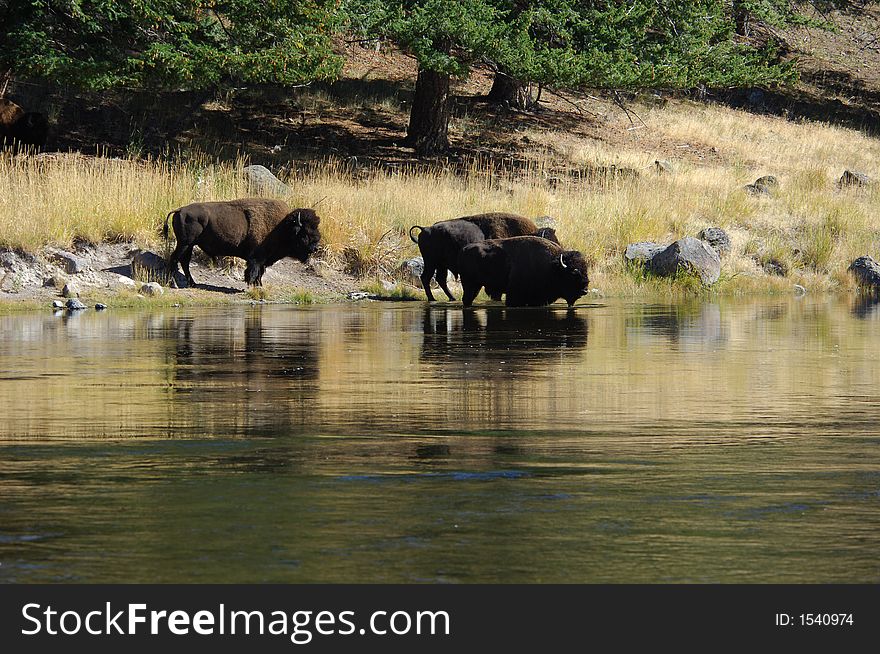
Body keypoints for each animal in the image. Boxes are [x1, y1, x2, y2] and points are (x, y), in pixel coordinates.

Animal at [163, 199, 322, 288]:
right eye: (305, 233)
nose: (315, 248)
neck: (282, 227)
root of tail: (180, 210)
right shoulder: (256, 258)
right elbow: (254, 271)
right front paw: (252, 284)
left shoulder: (263, 259)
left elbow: (260, 272)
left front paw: (259, 285)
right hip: (184, 243)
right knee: (175, 259)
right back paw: (173, 284)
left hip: (189, 245)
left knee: (184, 262)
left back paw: (192, 283)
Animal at [410, 213, 560, 302]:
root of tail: (425, 229)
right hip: (431, 262)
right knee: (426, 278)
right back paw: (433, 299)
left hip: (441, 265)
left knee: (440, 279)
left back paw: (452, 298)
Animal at [458, 236, 588, 308]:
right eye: (573, 273)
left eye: (585, 270)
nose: (585, 290)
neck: (552, 267)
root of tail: (464, 249)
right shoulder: (514, 297)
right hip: (469, 284)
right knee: (467, 299)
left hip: (476, 285)